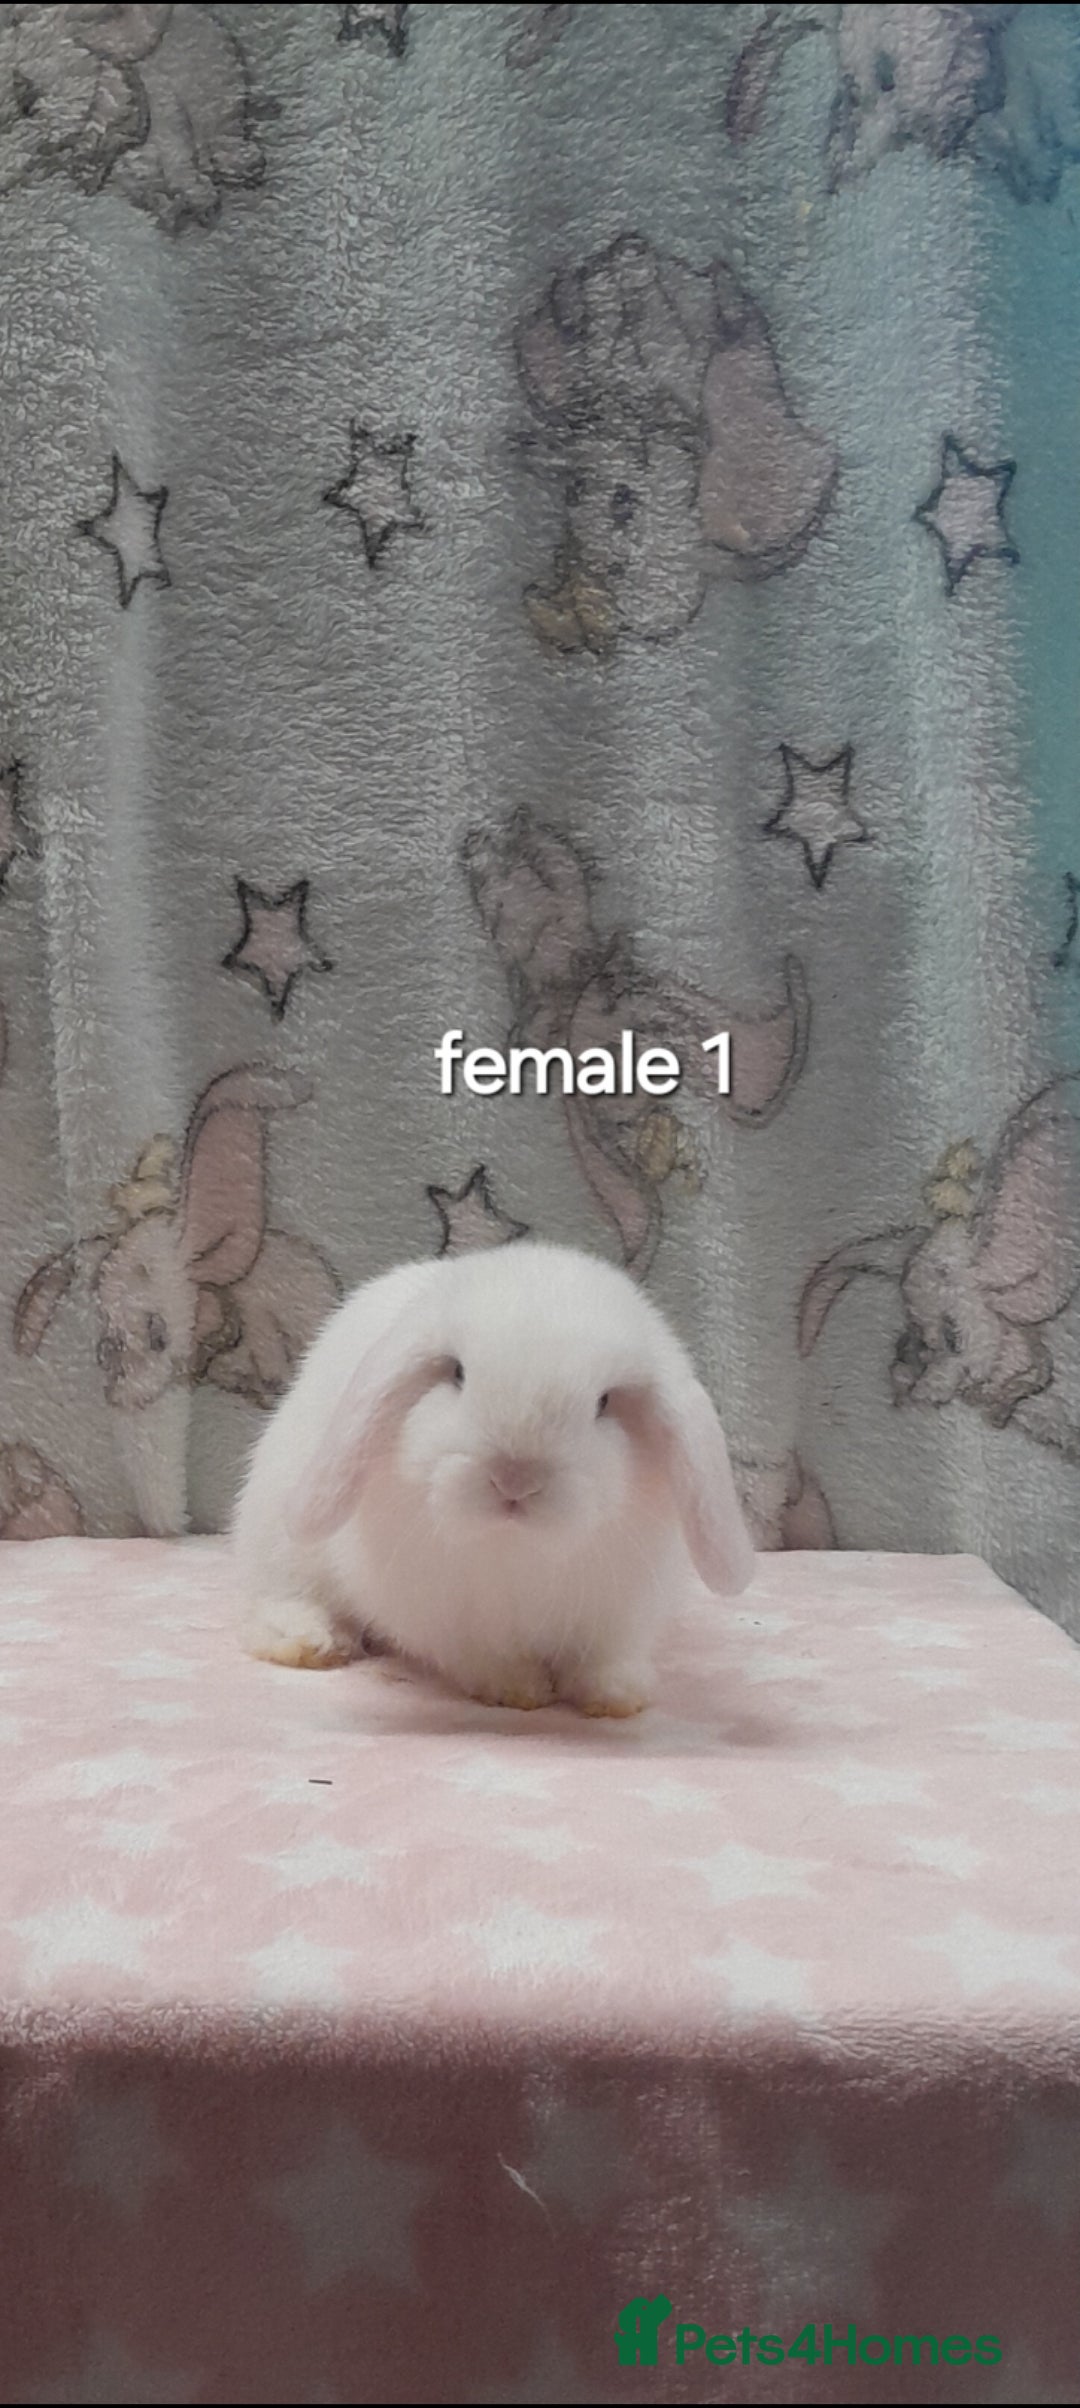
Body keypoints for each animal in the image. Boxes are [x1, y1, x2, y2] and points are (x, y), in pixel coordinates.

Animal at [232, 1240, 754, 1717]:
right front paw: (518, 1689)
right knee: (277, 1601)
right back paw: (313, 1643)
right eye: (458, 1374)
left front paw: (617, 1696)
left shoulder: (622, 1613)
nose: (514, 1479)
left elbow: (606, 1657)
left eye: (604, 1402)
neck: (516, 1548)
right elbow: (479, 1657)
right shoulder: (440, 1615)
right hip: (280, 1540)